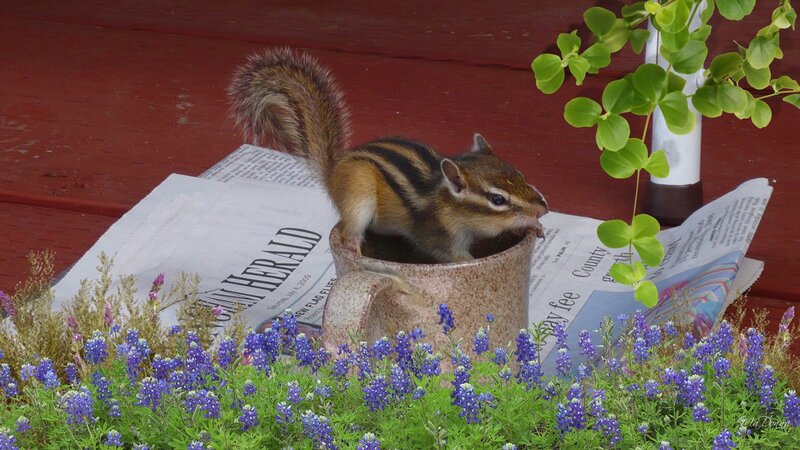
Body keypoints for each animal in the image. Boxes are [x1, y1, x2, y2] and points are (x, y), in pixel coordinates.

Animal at [228, 48, 548, 263]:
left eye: (520, 175)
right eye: (497, 200)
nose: (543, 208)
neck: (446, 202)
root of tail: (335, 171)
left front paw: (535, 224)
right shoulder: (437, 235)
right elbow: (452, 256)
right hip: (358, 195)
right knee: (349, 230)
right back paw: (354, 247)